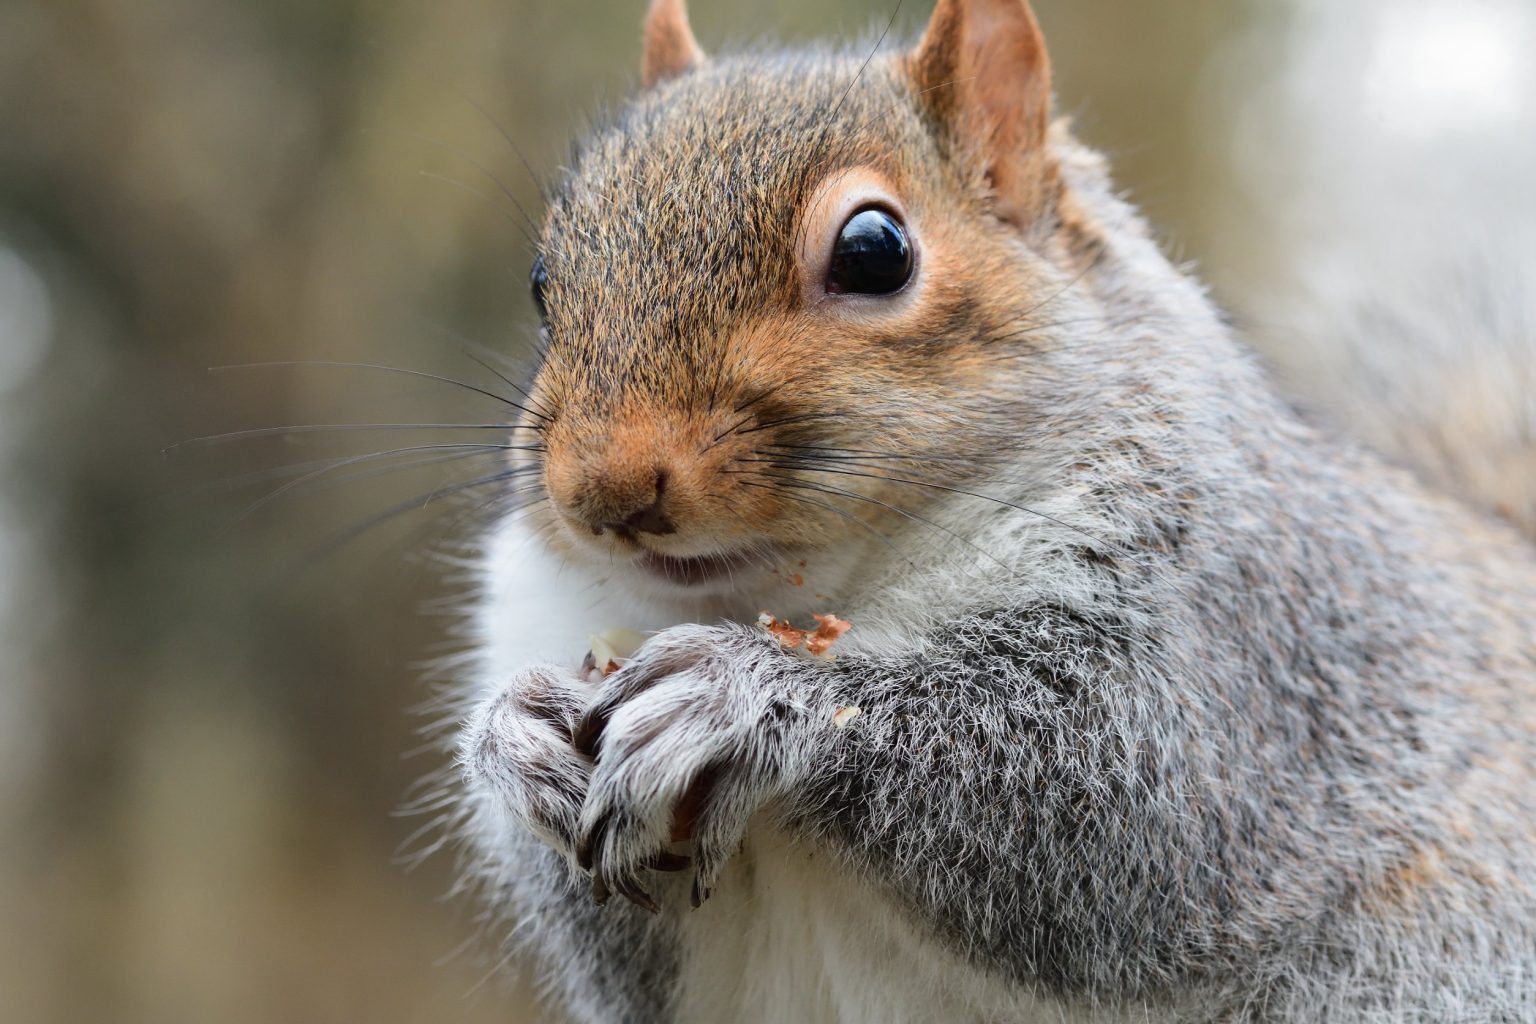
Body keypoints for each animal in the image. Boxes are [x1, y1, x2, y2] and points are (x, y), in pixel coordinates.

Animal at [453, 0, 1536, 1021]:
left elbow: (1132, 813)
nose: (605, 491)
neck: (819, 592)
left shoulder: (1240, 645)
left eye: (876, 251)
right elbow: (635, 965)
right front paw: (515, 739)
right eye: (544, 284)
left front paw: (745, 697)